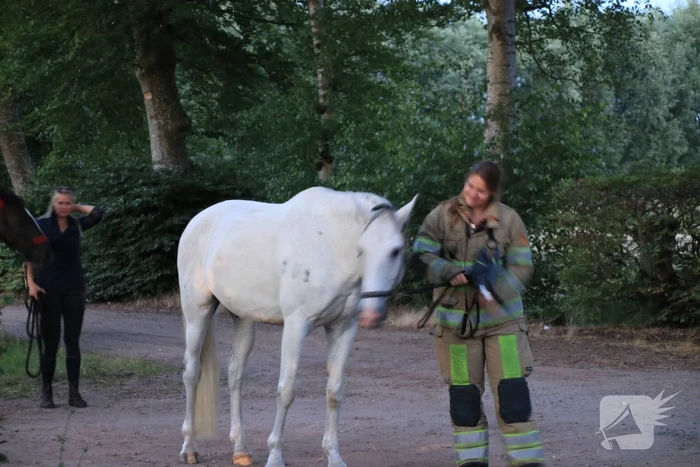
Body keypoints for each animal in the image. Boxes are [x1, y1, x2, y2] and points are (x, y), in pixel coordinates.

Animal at [176, 186, 418, 467]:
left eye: (396, 250)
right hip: (197, 310)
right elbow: (286, 391)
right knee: (192, 372)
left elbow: (334, 392)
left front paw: (334, 456)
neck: (331, 243)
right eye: (361, 250)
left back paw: (241, 450)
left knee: (236, 374)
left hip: (244, 319)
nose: (371, 315)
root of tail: (196, 221)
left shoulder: (343, 328)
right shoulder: (296, 325)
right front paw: (275, 456)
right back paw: (189, 448)